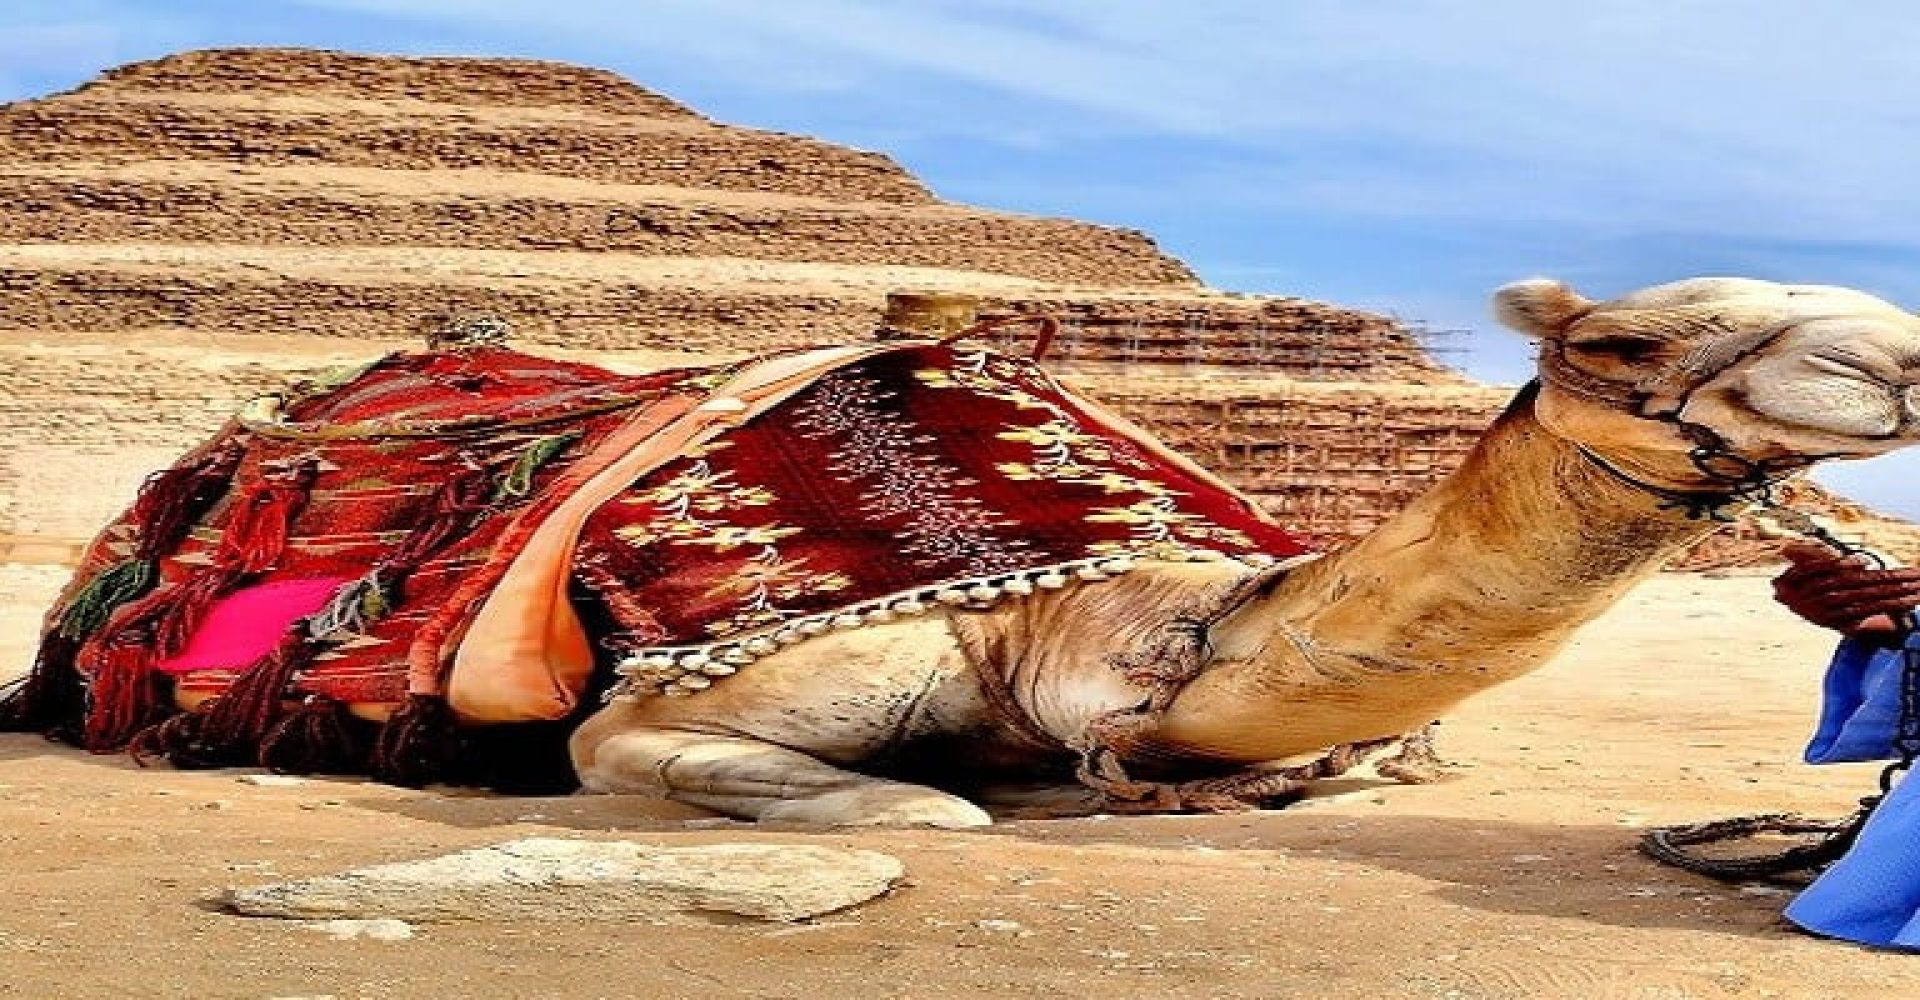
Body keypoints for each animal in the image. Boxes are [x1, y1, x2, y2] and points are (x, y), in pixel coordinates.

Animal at [566, 276, 1920, 827]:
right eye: (1622, 344)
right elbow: (917, 806)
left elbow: (1348, 771)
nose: (1899, 359)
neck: (1072, 618)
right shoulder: (642, 720)